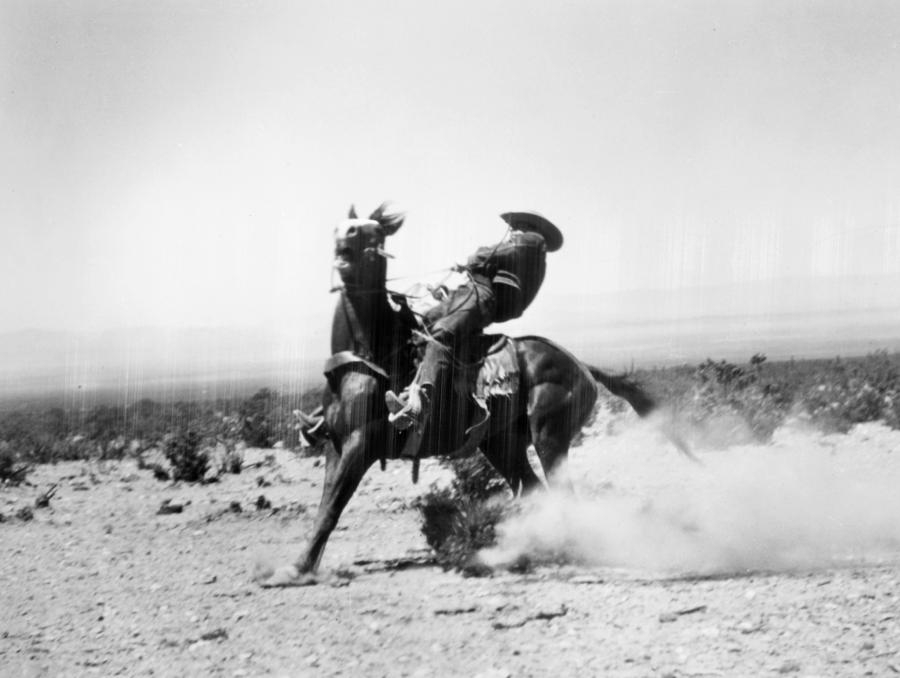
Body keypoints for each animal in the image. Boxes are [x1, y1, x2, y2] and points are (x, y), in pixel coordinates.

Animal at [256, 203, 684, 588]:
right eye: (347, 224)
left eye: (374, 234)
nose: (344, 236)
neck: (372, 353)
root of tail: (581, 365)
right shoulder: (336, 444)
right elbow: (325, 508)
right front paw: (303, 565)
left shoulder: (362, 443)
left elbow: (332, 507)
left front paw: (294, 571)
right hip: (501, 443)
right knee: (532, 489)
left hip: (550, 436)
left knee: (562, 493)